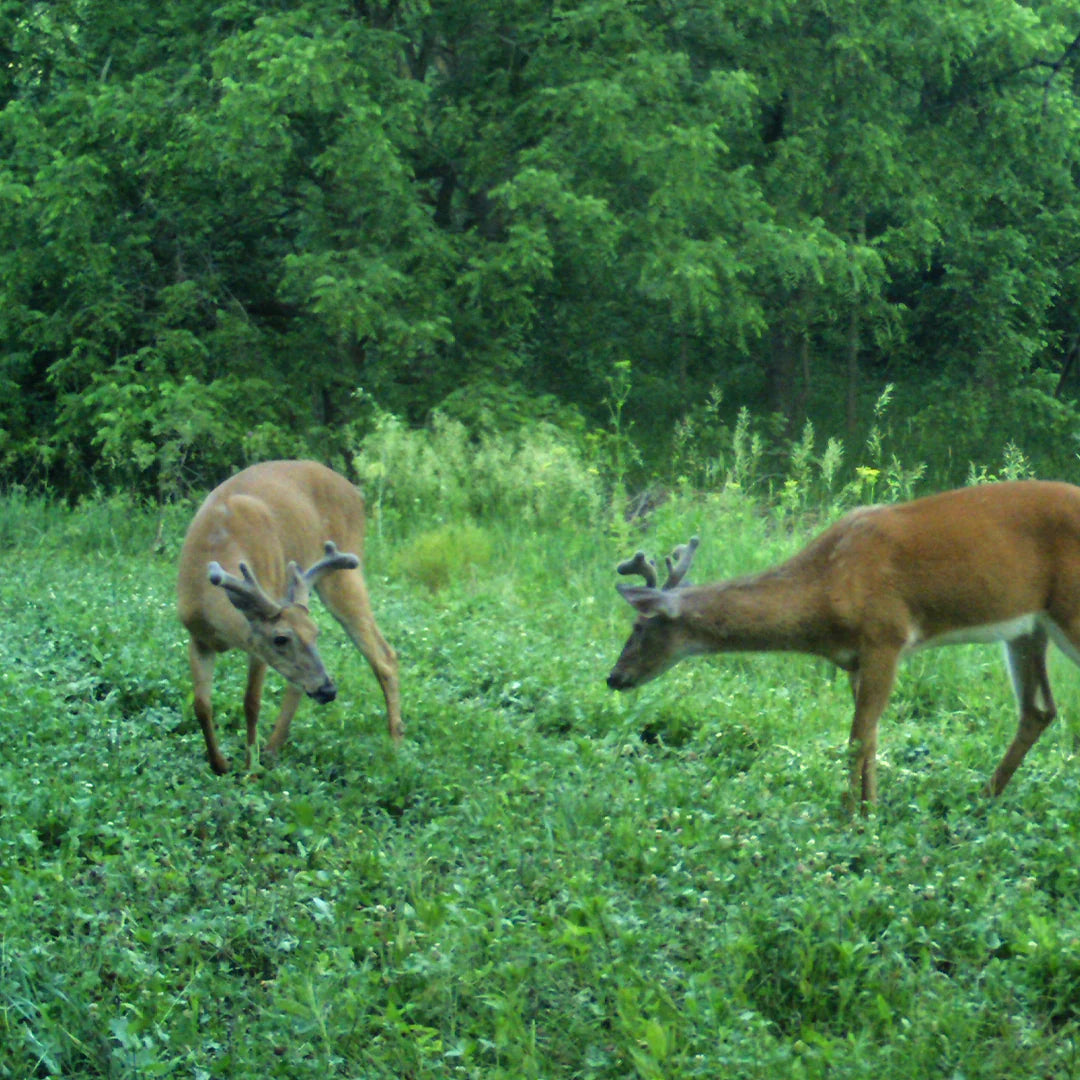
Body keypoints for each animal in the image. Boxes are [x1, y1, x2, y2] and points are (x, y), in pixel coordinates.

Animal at [177, 460, 401, 773]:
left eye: (317, 633)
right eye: (281, 638)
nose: (329, 689)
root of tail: (355, 492)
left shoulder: (255, 644)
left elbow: (251, 702)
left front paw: (250, 768)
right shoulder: (197, 638)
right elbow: (201, 704)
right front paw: (220, 764)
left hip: (345, 574)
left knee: (384, 656)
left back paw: (396, 744)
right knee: (298, 685)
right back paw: (274, 748)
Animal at [609, 481, 1080, 812]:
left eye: (638, 627)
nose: (614, 677)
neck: (825, 588)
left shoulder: (886, 636)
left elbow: (856, 738)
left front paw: (850, 817)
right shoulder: (855, 660)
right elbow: (870, 737)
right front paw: (871, 811)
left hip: (1069, 613)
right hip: (1027, 628)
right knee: (1038, 710)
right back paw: (983, 798)